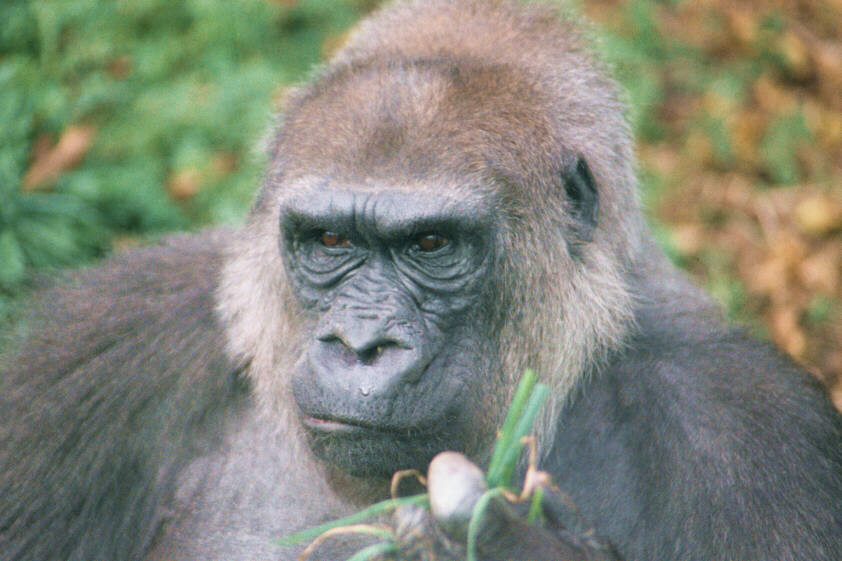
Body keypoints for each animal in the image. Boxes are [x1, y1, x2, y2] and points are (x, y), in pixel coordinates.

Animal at [1, 1, 840, 560]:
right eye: (330, 239)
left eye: (432, 244)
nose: (360, 345)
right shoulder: (106, 343)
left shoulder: (753, 435)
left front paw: (504, 544)